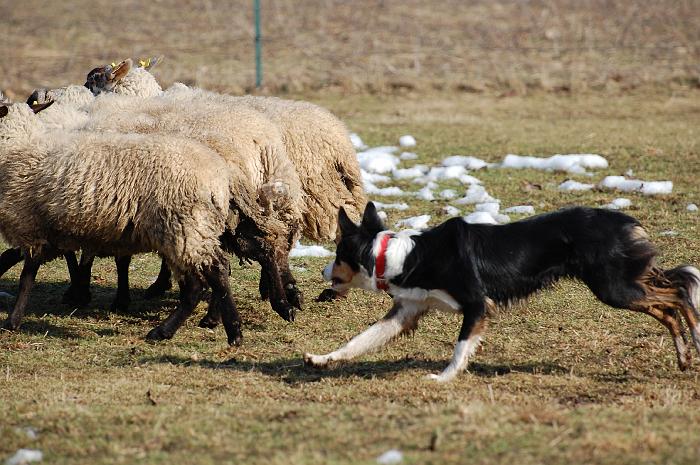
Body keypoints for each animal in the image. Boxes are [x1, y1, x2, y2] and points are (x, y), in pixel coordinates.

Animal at [0, 101, 260, 340]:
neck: (17, 146)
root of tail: (221, 177)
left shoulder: (28, 224)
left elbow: (26, 277)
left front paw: (13, 321)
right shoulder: (49, 231)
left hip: (184, 227)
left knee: (204, 279)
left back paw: (171, 331)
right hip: (193, 229)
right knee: (212, 273)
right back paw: (225, 328)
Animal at [304, 203, 700, 380]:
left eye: (337, 255)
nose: (322, 270)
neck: (398, 255)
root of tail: (624, 219)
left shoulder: (478, 304)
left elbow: (460, 347)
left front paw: (444, 378)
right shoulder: (406, 312)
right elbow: (358, 341)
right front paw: (321, 359)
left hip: (613, 288)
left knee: (679, 293)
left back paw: (693, 337)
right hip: (621, 287)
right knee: (668, 305)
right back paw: (683, 357)